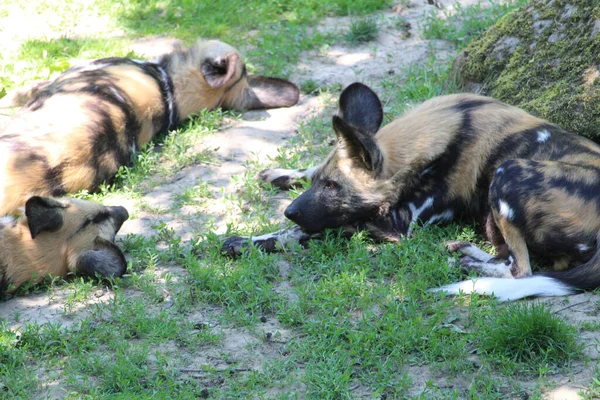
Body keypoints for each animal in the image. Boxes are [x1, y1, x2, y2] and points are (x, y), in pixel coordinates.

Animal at [223, 82, 600, 300]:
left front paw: (251, 240)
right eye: (320, 181)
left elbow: (316, 229)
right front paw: (279, 174)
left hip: (507, 172)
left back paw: (471, 266)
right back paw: (468, 253)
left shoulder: (396, 225)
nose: (289, 211)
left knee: (522, 271)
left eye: (333, 187)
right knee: (512, 261)